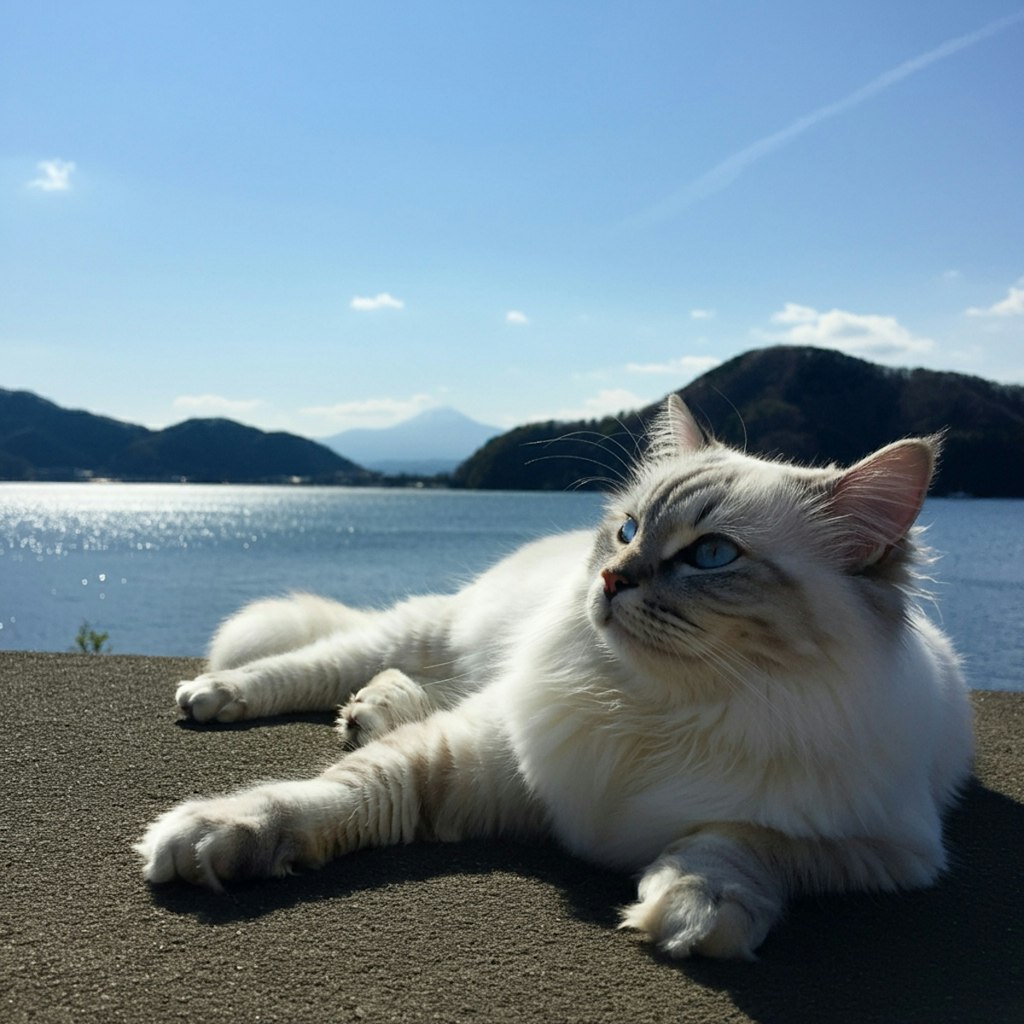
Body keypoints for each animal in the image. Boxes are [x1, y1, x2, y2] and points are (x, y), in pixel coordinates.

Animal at [132, 393, 970, 958]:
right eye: (629, 530)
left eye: (710, 555)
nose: (610, 578)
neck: (658, 710)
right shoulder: (479, 754)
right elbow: (329, 796)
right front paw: (211, 837)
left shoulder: (881, 849)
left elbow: (738, 843)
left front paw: (694, 909)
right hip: (431, 634)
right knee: (318, 663)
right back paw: (218, 697)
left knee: (405, 686)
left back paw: (371, 709)